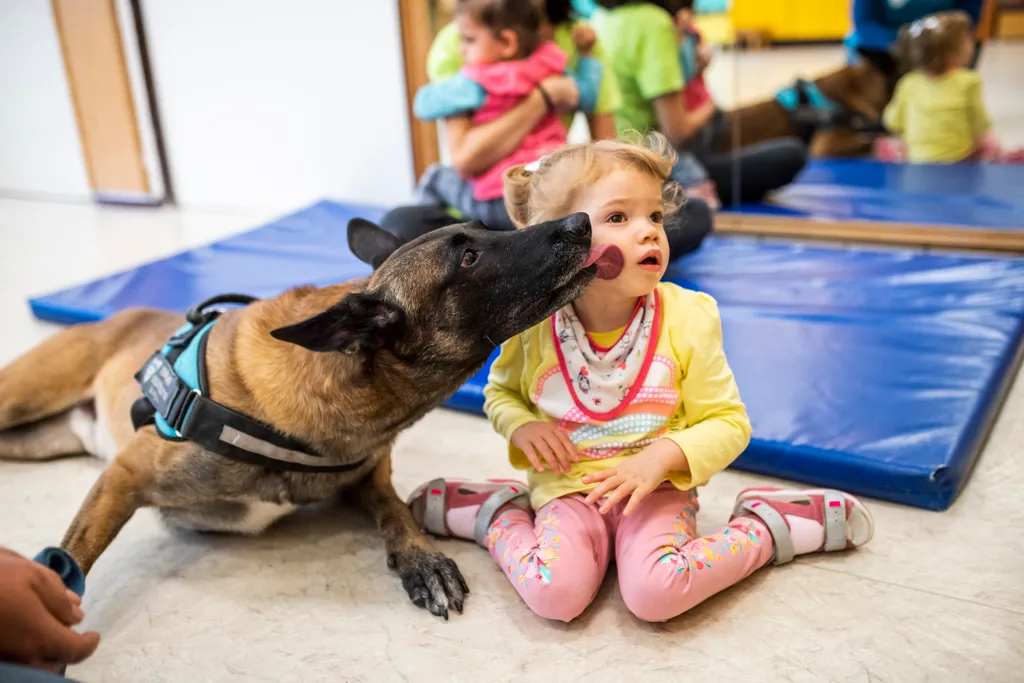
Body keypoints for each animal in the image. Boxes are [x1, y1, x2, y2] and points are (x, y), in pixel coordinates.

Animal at [0, 214, 602, 618]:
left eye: (483, 232)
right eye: (468, 259)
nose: (581, 221)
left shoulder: (366, 478)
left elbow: (395, 512)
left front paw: (420, 559)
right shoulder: (122, 477)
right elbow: (69, 562)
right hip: (21, 399)